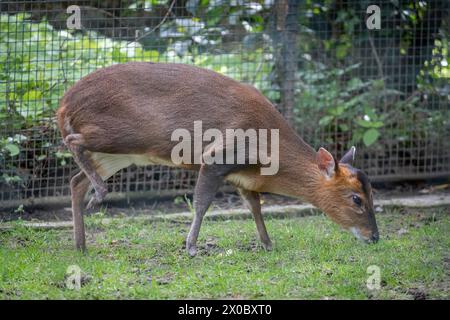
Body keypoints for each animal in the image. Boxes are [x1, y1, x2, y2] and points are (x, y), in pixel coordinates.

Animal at [57, 63, 380, 258]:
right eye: (356, 199)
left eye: (372, 194)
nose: (375, 237)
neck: (268, 151)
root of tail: (64, 103)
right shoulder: (218, 156)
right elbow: (201, 203)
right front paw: (190, 247)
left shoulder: (244, 178)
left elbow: (255, 207)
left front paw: (267, 243)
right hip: (123, 134)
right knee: (72, 142)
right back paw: (99, 196)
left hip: (121, 154)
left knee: (75, 181)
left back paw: (81, 244)